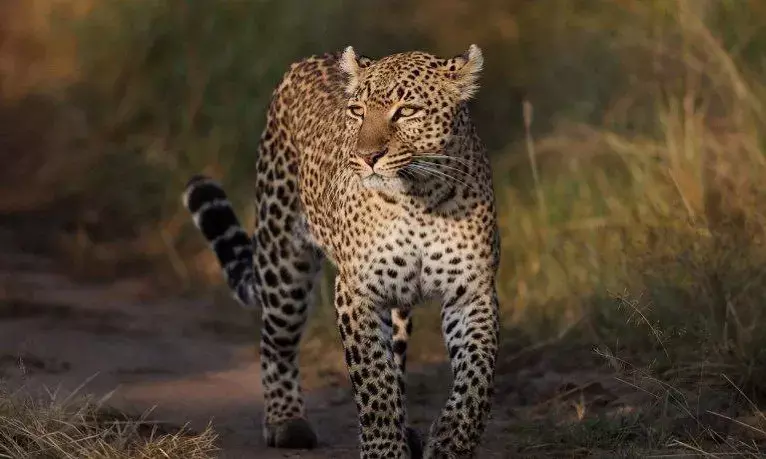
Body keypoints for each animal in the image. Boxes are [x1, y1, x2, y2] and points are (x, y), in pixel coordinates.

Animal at [182, 44, 500, 459]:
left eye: (406, 111)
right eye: (357, 111)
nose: (367, 156)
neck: (420, 198)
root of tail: (311, 58)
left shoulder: (472, 292)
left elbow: (475, 381)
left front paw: (449, 445)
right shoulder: (357, 291)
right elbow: (373, 381)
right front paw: (384, 450)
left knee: (396, 357)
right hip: (283, 263)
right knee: (276, 343)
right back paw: (286, 421)